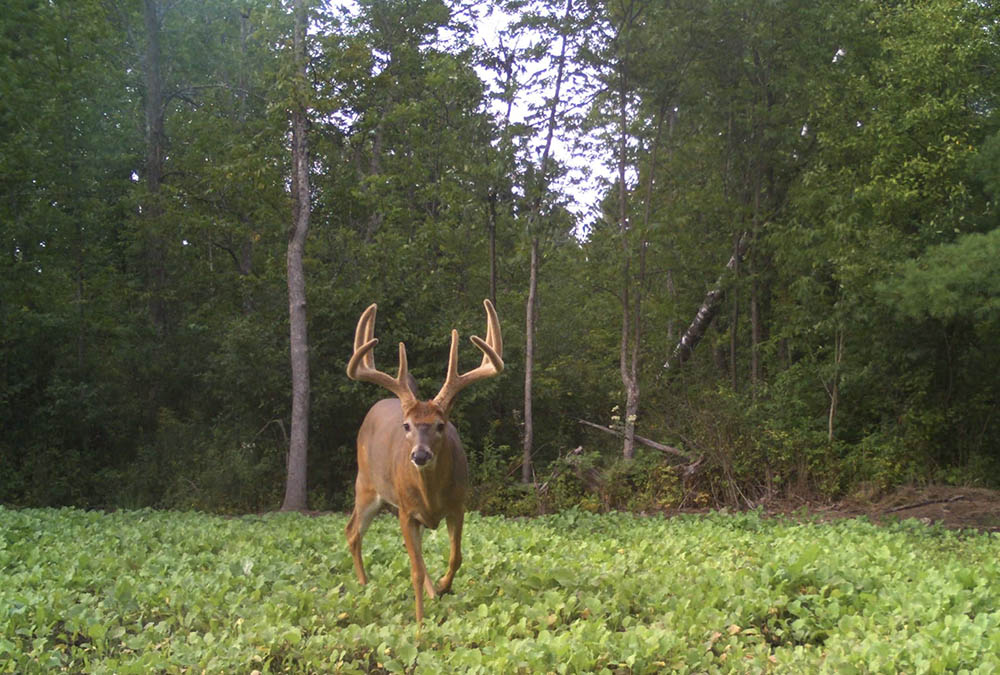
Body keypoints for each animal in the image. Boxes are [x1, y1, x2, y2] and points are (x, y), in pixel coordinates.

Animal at [345, 299, 503, 624]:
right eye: (406, 425)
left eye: (441, 425)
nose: (419, 455)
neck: (431, 496)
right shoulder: (407, 511)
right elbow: (415, 571)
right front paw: (419, 625)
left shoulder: (457, 506)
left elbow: (456, 557)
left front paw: (443, 587)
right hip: (366, 484)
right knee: (352, 531)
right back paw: (364, 585)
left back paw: (430, 591)